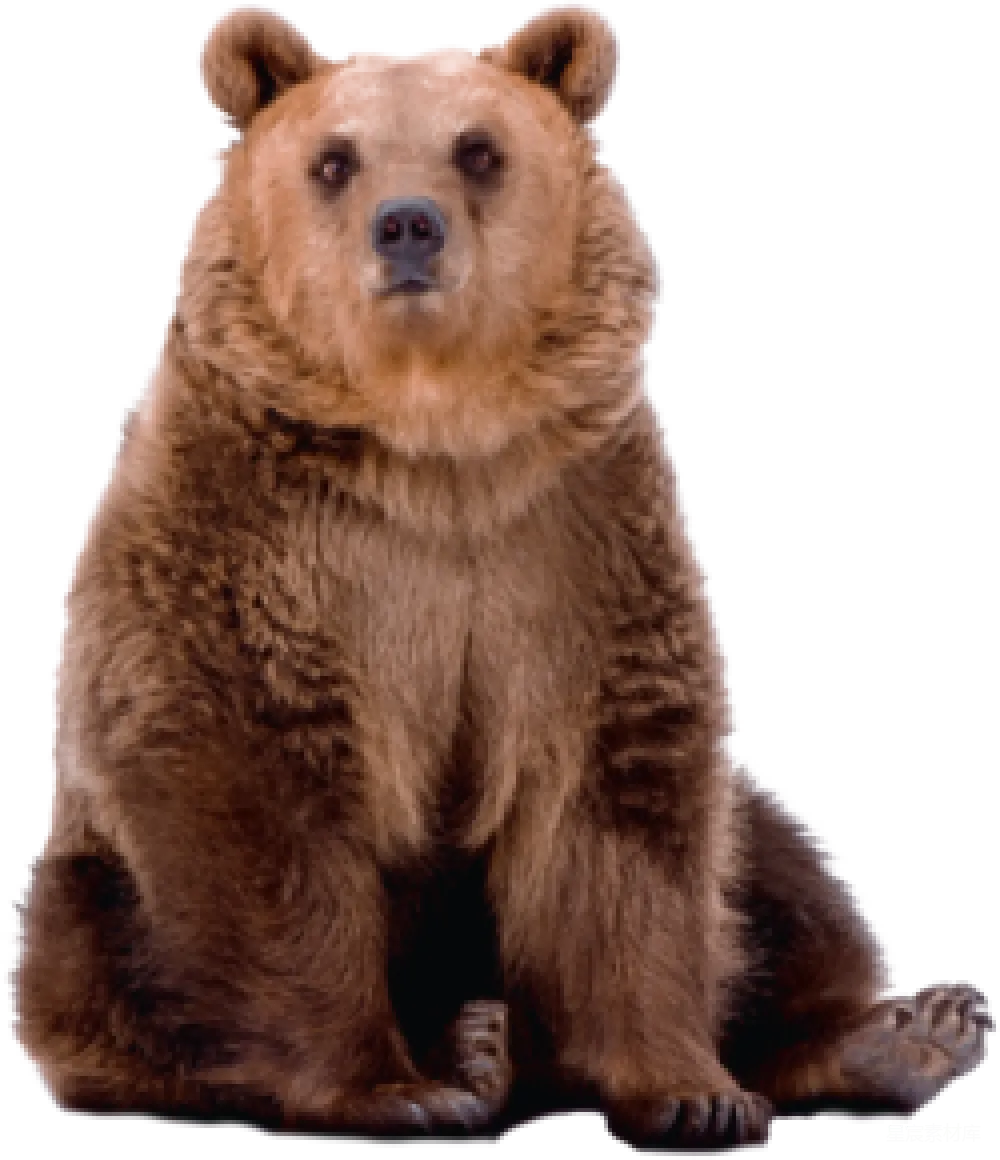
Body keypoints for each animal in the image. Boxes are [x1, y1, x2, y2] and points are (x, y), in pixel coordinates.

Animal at [12, 3, 993, 1151]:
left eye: (478, 149)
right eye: (334, 160)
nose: (407, 224)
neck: (436, 445)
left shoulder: (566, 544)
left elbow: (622, 810)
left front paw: (694, 1092)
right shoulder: (255, 540)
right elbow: (258, 793)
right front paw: (390, 1088)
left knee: (776, 866)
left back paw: (902, 1032)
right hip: (93, 887)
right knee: (98, 955)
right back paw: (463, 1053)